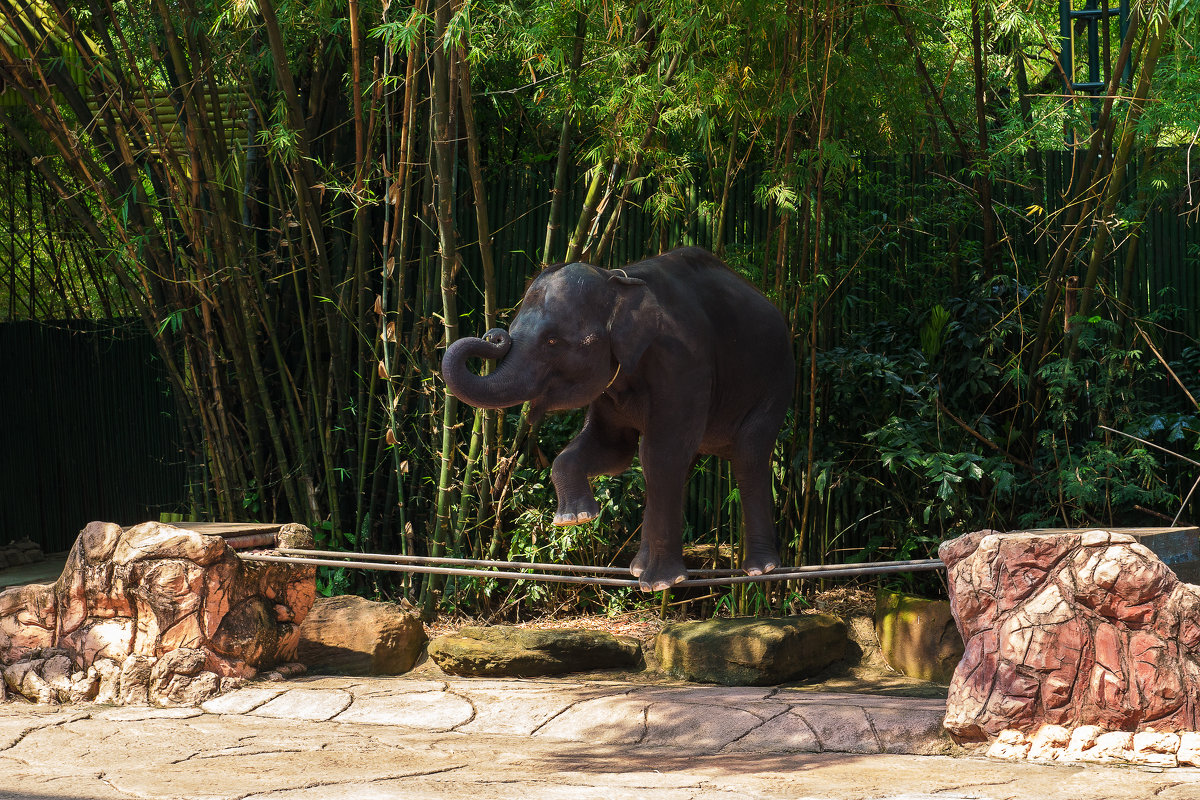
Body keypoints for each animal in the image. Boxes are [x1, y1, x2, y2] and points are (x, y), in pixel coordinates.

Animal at [441, 247, 796, 592]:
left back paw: (758, 568)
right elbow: (614, 451)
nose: (493, 336)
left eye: (552, 341)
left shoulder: (684, 363)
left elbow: (659, 455)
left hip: (775, 380)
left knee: (747, 455)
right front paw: (576, 518)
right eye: (512, 333)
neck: (618, 278)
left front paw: (660, 581)